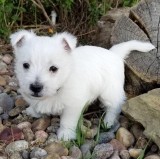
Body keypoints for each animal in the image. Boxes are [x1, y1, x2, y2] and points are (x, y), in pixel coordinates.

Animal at [10, 29, 155, 140]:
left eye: (53, 68)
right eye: (25, 65)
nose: (35, 87)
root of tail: (114, 53)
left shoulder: (73, 106)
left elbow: (67, 121)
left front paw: (65, 135)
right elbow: (35, 104)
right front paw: (34, 111)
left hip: (110, 91)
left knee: (115, 106)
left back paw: (108, 122)